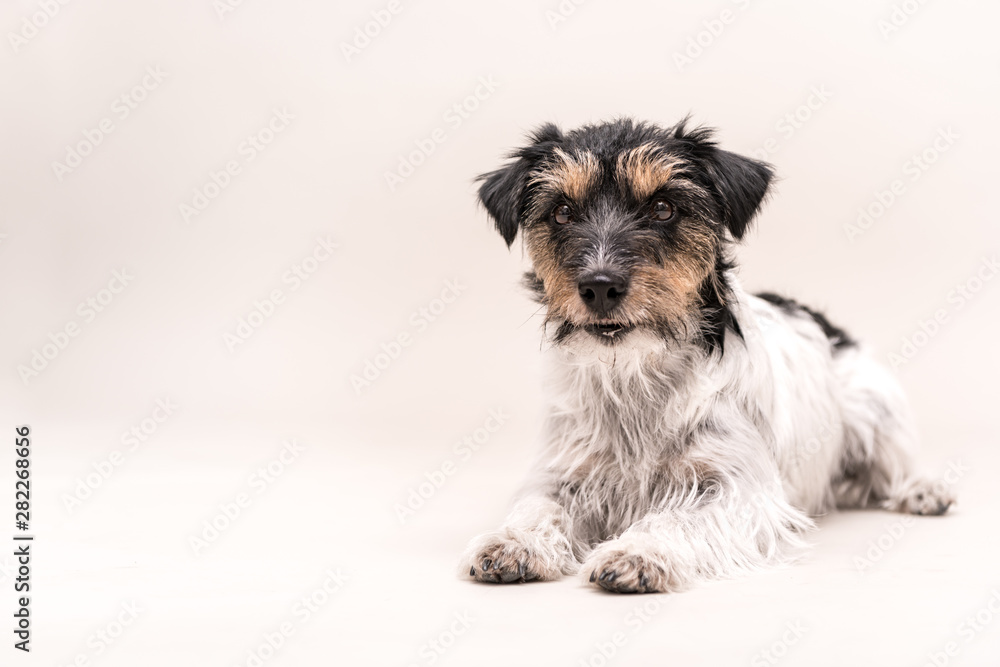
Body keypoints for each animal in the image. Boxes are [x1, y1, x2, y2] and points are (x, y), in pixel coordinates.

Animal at [460, 117, 952, 592]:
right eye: (562, 211)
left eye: (663, 207)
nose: (600, 286)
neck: (638, 373)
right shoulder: (563, 472)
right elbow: (539, 506)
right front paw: (513, 541)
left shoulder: (736, 489)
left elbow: (678, 517)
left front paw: (638, 552)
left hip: (873, 410)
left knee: (897, 463)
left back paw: (924, 490)